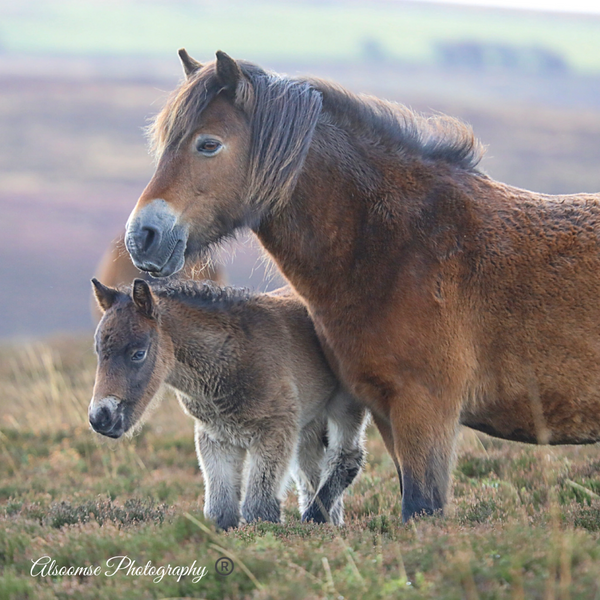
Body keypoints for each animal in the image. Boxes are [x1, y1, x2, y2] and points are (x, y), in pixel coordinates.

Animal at [90, 278, 366, 528]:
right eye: (98, 351)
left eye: (138, 353)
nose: (100, 418)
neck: (235, 357)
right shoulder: (215, 437)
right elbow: (220, 510)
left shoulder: (275, 430)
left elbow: (258, 509)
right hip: (310, 421)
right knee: (311, 468)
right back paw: (329, 523)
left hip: (344, 405)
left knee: (347, 457)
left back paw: (314, 519)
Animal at [124, 51, 600, 520]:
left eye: (208, 144)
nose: (141, 236)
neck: (401, 243)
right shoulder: (386, 412)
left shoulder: (425, 410)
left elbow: (421, 507)